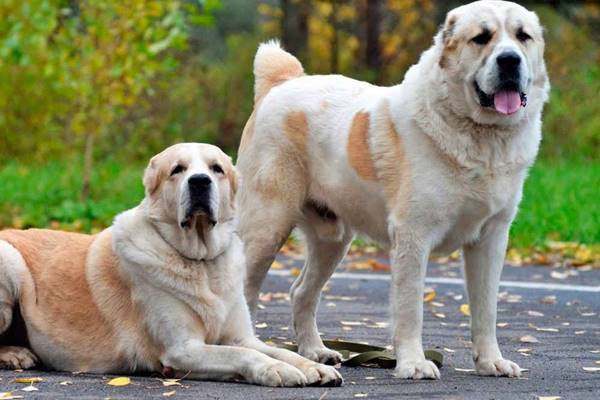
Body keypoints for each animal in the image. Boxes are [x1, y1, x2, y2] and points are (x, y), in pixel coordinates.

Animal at [234, 0, 548, 380]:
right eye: (481, 38)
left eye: (523, 36)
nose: (509, 60)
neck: (480, 138)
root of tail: (283, 83)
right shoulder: (413, 236)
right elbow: (410, 307)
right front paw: (413, 363)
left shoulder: (490, 239)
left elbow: (486, 309)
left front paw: (491, 361)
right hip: (266, 228)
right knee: (246, 293)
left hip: (332, 240)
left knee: (301, 292)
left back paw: (316, 351)